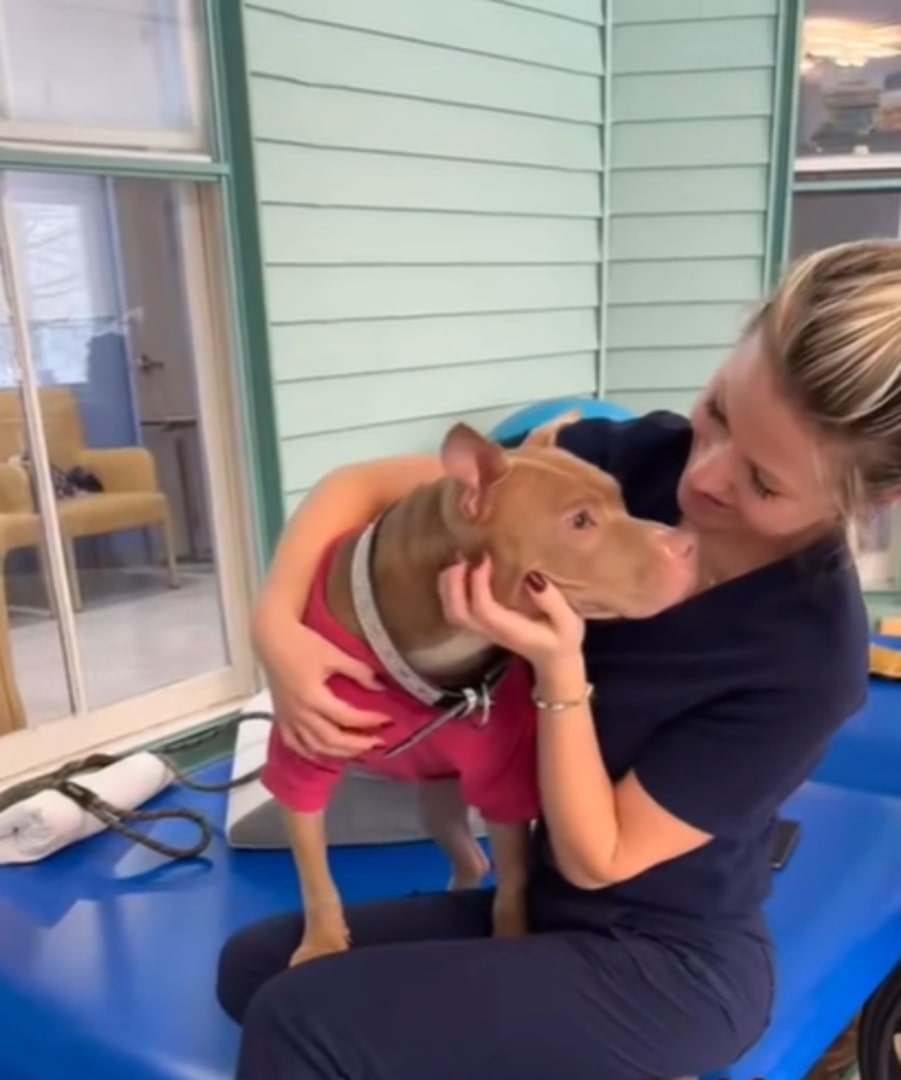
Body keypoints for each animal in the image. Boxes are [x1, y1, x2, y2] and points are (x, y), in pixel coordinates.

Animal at [259, 416, 695, 967]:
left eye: (620, 498)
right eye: (580, 521)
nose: (686, 546)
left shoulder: (501, 774)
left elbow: (511, 877)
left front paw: (510, 935)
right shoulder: (305, 751)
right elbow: (314, 872)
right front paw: (321, 943)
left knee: (475, 860)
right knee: (467, 858)